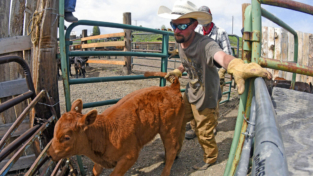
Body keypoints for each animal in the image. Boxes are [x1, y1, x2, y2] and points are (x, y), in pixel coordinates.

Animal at [47, 72, 184, 176]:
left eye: (66, 137)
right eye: (54, 131)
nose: (49, 154)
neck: (104, 133)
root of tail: (170, 88)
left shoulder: (130, 156)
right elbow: (95, 171)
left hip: (169, 128)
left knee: (171, 150)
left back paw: (165, 172)